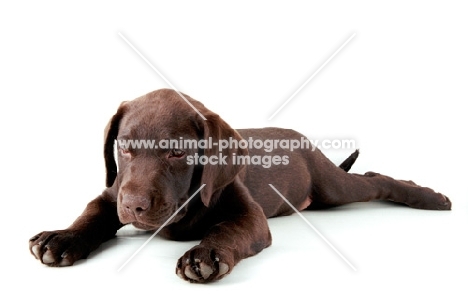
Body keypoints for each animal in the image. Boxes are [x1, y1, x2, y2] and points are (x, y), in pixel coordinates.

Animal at [28, 89, 450, 284]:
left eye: (177, 153)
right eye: (125, 148)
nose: (134, 206)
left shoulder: (249, 214)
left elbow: (228, 229)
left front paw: (206, 255)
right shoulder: (110, 193)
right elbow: (91, 215)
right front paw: (61, 238)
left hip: (333, 186)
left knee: (375, 181)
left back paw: (431, 197)